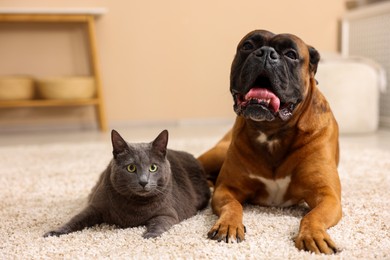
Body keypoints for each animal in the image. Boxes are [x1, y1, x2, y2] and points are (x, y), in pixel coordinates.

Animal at [43, 129, 210, 239]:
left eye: (153, 167)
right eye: (131, 168)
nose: (143, 181)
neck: (134, 205)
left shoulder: (167, 212)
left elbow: (159, 223)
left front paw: (149, 235)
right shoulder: (94, 207)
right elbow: (76, 219)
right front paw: (55, 232)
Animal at [198, 30, 342, 254]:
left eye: (291, 54)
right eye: (248, 46)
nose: (266, 53)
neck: (272, 132)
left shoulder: (327, 196)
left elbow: (313, 216)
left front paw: (313, 234)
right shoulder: (227, 189)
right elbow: (233, 206)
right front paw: (228, 225)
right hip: (216, 155)